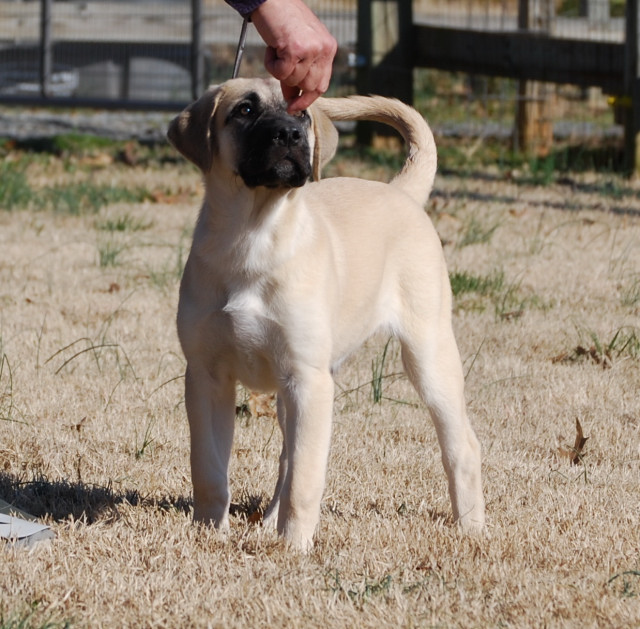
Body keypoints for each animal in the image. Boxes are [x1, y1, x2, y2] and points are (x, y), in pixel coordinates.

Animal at [168, 77, 482, 548]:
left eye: (301, 113)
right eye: (244, 110)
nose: (290, 135)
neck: (253, 236)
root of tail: (398, 190)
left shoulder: (307, 379)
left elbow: (305, 479)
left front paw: (294, 547)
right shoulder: (207, 377)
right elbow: (208, 468)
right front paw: (208, 533)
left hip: (428, 355)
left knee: (462, 444)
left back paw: (472, 526)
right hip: (294, 394)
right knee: (287, 459)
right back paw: (267, 520)